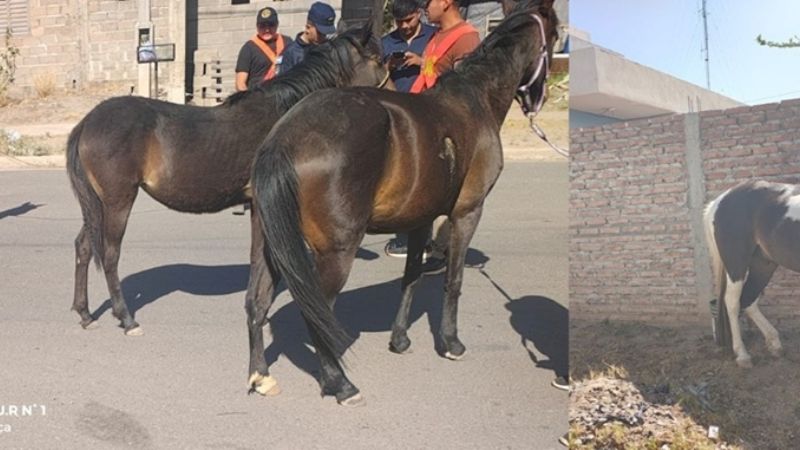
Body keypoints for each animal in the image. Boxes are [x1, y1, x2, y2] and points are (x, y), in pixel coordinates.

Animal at [66, 24, 389, 336]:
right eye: (377, 59)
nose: (392, 94)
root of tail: (87, 122)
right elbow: (263, 259)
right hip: (117, 200)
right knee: (109, 254)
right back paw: (126, 319)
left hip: (97, 204)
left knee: (84, 246)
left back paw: (85, 314)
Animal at [245, 0, 559, 404]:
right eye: (554, 35)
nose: (541, 97)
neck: (474, 100)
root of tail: (286, 135)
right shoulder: (467, 212)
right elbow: (453, 279)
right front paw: (451, 343)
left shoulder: (420, 219)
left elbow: (411, 277)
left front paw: (400, 339)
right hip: (336, 252)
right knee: (317, 310)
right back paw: (340, 383)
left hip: (268, 244)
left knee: (256, 302)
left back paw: (260, 375)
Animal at [704, 179, 798, 367]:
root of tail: (719, 201)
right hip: (736, 265)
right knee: (732, 302)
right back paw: (742, 355)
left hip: (763, 264)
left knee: (749, 300)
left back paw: (774, 344)